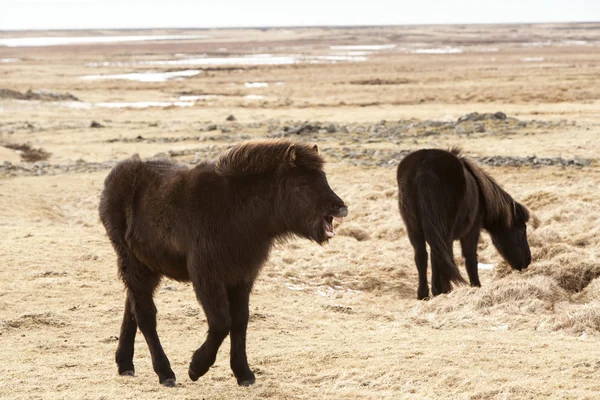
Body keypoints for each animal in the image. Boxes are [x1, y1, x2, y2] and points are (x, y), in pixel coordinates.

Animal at [99, 141, 350, 388]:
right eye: (303, 183)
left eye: (323, 177)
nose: (340, 207)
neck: (235, 209)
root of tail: (113, 180)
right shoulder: (207, 276)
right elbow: (221, 322)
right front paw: (196, 368)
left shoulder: (241, 277)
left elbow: (240, 321)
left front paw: (244, 373)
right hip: (133, 263)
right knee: (145, 315)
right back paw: (165, 373)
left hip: (146, 267)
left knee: (132, 307)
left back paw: (125, 364)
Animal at [398, 149, 528, 300]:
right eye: (521, 229)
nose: (527, 261)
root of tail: (423, 167)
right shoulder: (472, 230)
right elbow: (470, 258)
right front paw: (476, 286)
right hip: (443, 231)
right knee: (437, 255)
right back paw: (440, 290)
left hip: (414, 229)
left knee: (422, 255)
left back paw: (424, 294)